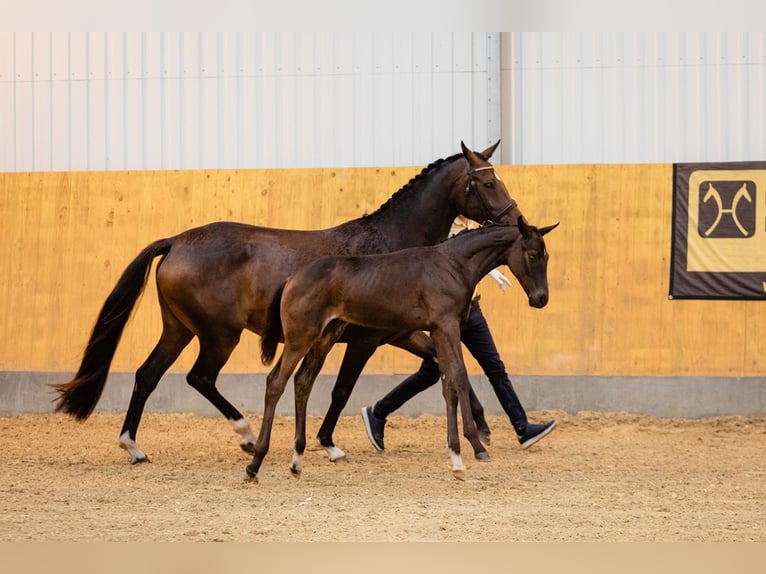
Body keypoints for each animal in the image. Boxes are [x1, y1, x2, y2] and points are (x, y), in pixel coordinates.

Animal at [52, 142, 520, 466]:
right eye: (488, 183)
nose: (517, 222)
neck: (389, 244)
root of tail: (177, 241)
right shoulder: (365, 340)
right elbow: (342, 389)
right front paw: (329, 444)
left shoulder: (400, 332)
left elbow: (444, 367)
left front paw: (481, 428)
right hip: (219, 335)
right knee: (199, 378)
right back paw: (244, 435)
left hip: (179, 329)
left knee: (148, 375)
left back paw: (134, 446)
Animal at [255, 217, 560, 482]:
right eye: (533, 255)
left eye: (547, 257)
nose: (541, 299)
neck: (452, 265)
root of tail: (292, 278)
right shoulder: (447, 326)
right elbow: (459, 377)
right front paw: (475, 446)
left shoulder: (438, 331)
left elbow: (449, 383)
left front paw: (458, 455)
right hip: (300, 338)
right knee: (276, 382)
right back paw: (255, 462)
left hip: (324, 337)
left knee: (302, 382)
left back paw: (297, 460)